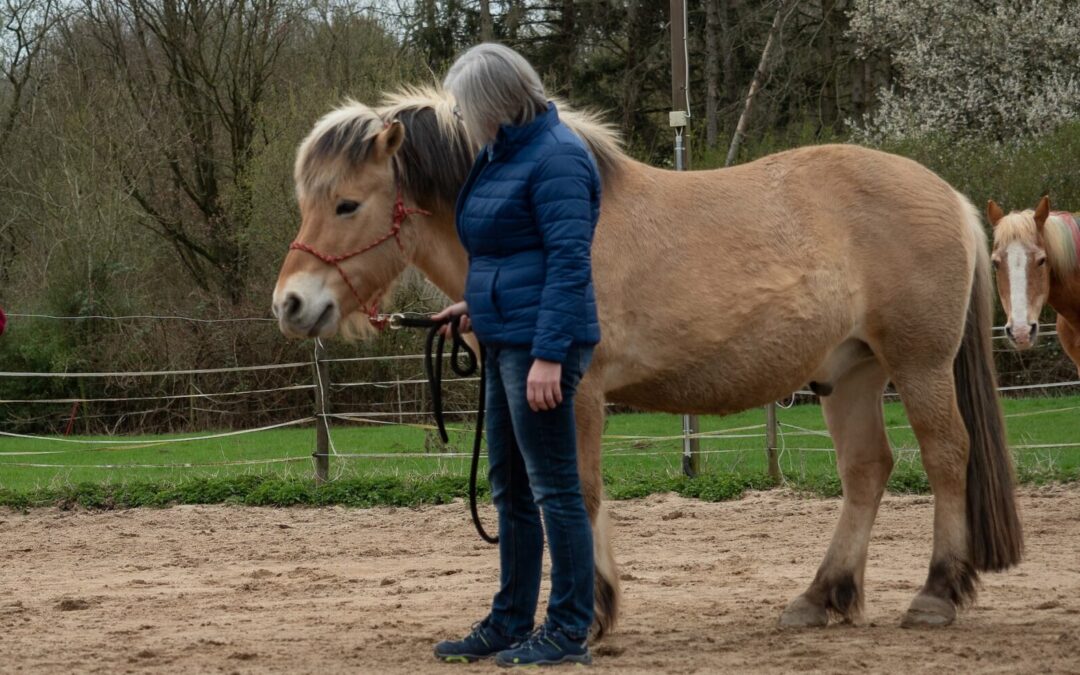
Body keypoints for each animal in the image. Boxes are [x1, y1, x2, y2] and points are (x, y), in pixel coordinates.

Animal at [270, 86, 1019, 635]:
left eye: (347, 203)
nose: (291, 303)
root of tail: (950, 198)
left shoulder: (575, 392)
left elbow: (579, 493)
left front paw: (588, 614)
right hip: (850, 373)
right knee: (867, 470)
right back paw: (821, 596)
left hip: (919, 366)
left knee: (948, 455)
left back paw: (936, 593)